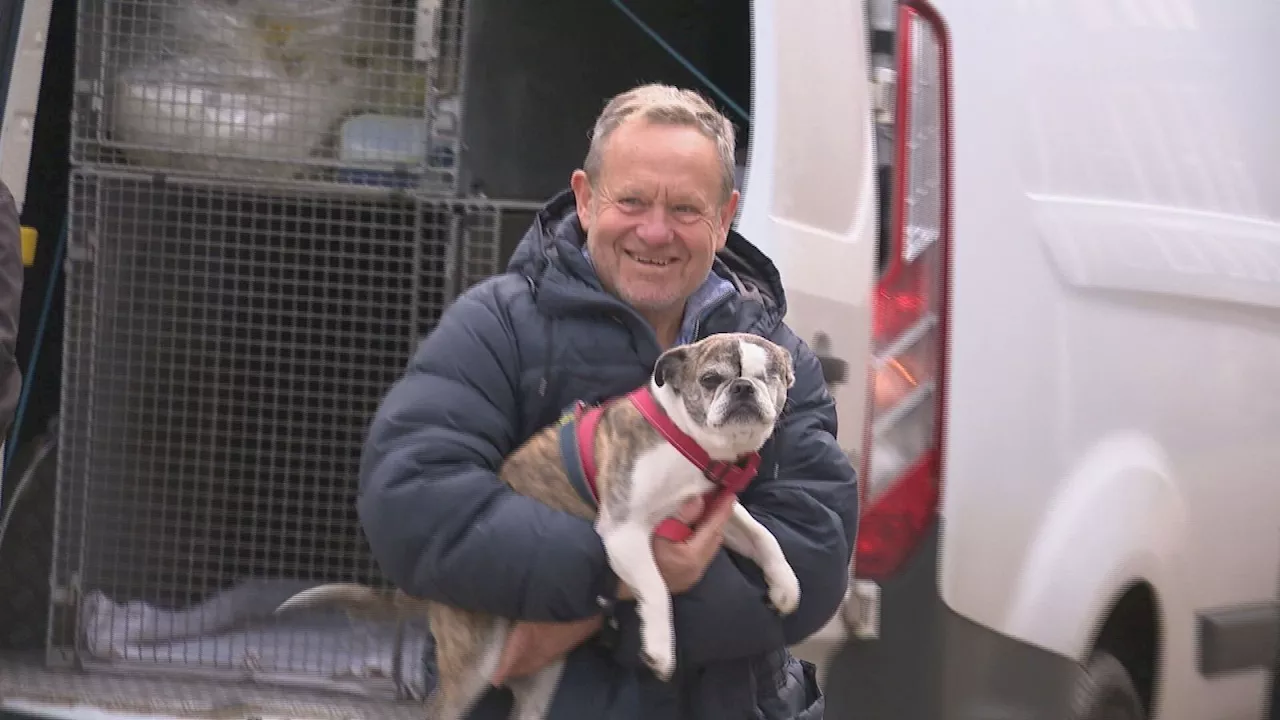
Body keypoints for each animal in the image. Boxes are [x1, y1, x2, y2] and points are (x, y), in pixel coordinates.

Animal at [276, 330, 803, 717]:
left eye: (770, 376)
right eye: (712, 379)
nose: (744, 388)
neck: (688, 442)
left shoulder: (716, 513)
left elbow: (764, 536)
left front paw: (785, 586)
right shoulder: (624, 531)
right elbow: (656, 586)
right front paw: (659, 647)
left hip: (540, 683)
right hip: (475, 657)